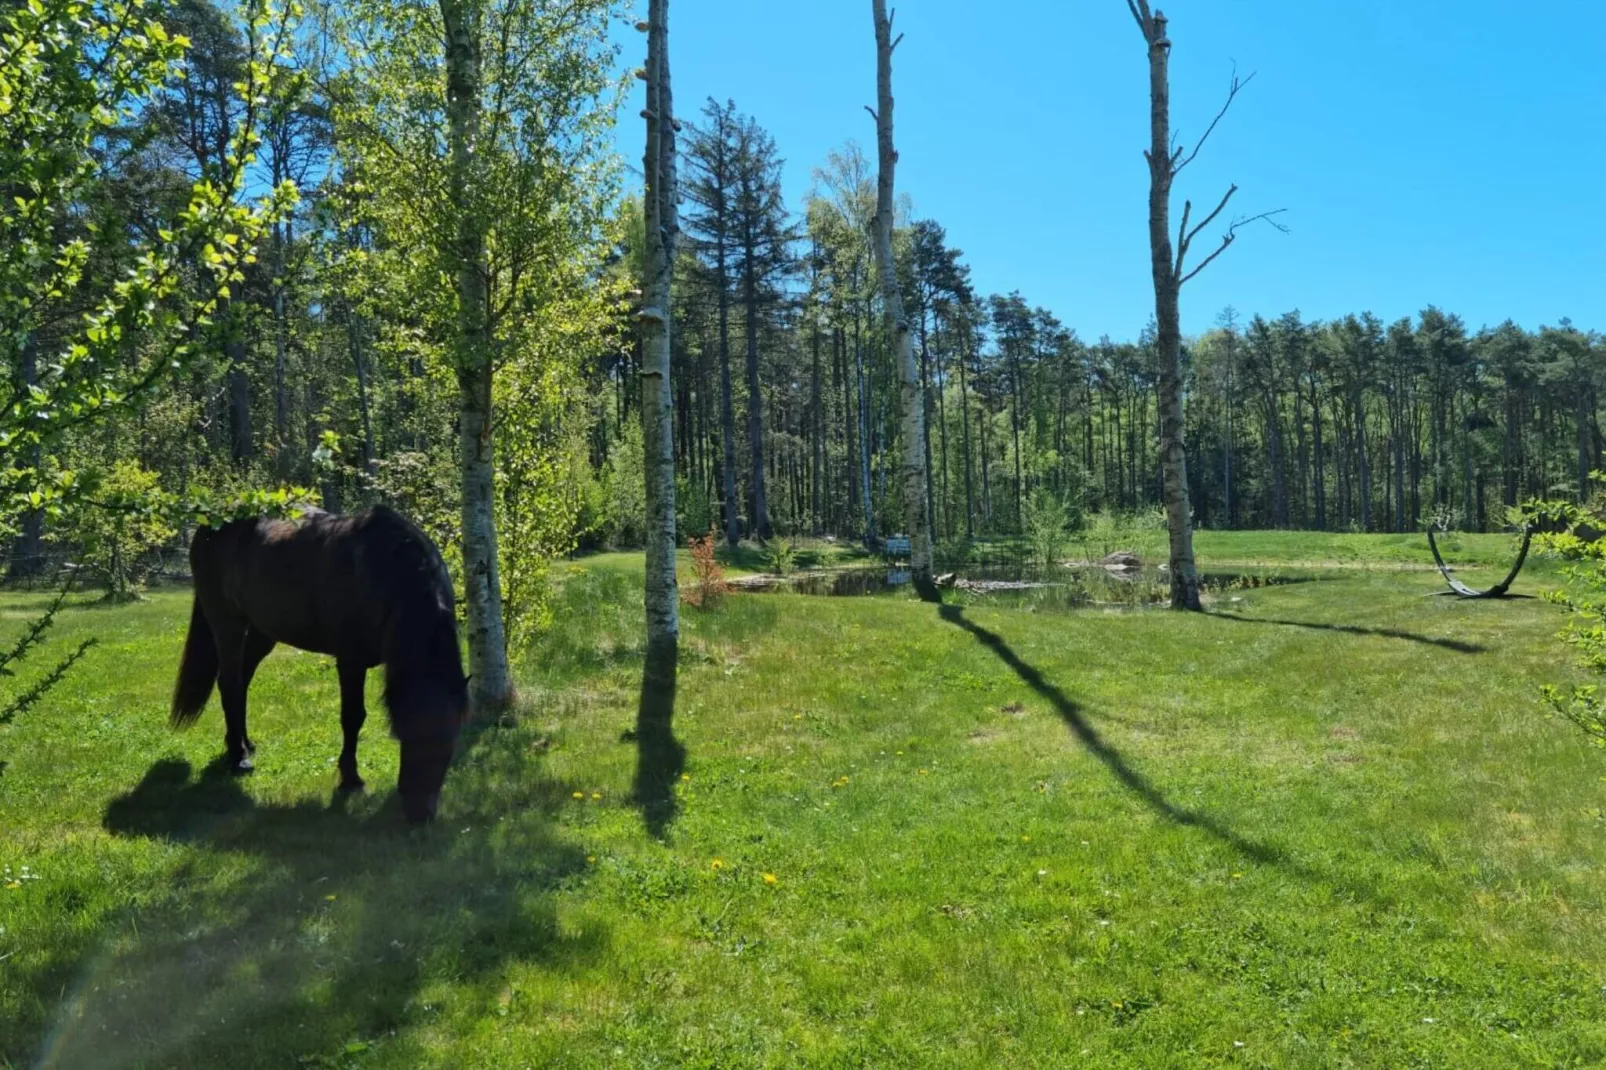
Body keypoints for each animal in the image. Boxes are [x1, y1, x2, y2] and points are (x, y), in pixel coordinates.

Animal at [171, 504, 468, 819]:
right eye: (406, 735)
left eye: (450, 743)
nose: (420, 815)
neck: (386, 573)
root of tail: (211, 520)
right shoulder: (350, 660)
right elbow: (353, 717)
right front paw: (350, 779)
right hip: (227, 624)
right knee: (229, 684)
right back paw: (238, 758)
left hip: (262, 631)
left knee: (241, 682)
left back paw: (243, 743)